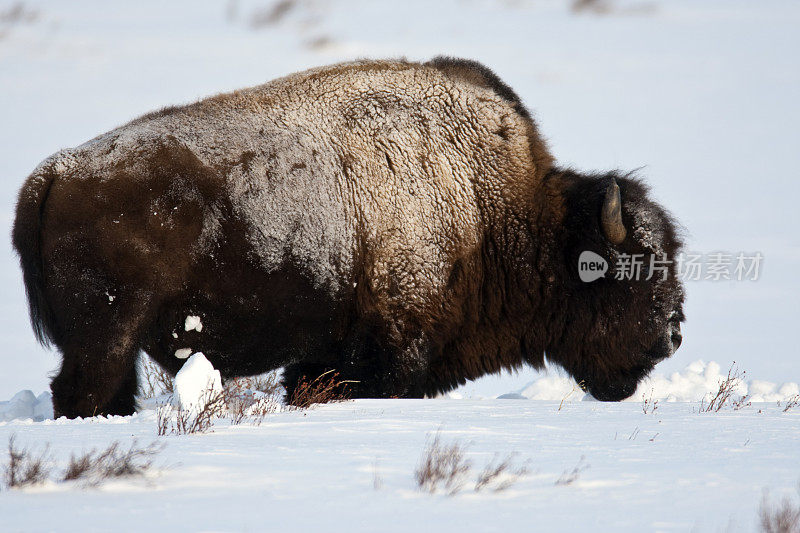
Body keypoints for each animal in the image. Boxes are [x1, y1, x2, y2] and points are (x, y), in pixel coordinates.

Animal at [12, 57, 684, 416]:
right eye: (632, 268)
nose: (674, 332)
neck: (493, 207)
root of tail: (54, 173)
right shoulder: (386, 357)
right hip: (104, 340)